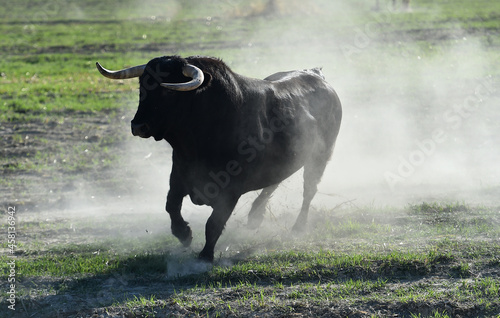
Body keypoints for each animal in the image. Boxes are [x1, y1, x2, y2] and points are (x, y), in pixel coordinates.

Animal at [95, 56, 342, 260]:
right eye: (142, 87)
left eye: (168, 91)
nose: (138, 126)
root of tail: (316, 75)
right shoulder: (178, 177)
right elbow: (171, 206)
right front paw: (184, 234)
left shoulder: (230, 191)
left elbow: (213, 223)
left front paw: (205, 255)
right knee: (273, 183)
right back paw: (255, 217)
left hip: (320, 157)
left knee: (308, 190)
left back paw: (297, 227)